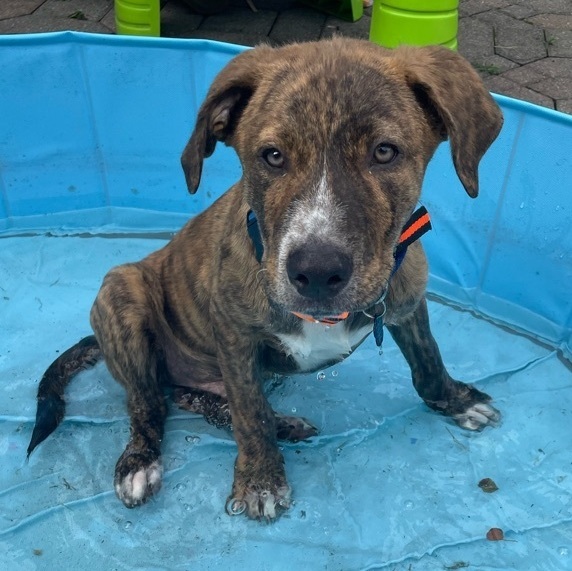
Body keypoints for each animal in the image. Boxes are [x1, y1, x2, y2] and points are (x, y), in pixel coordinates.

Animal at [26, 38, 502, 524]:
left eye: (384, 152)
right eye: (272, 156)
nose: (316, 272)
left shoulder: (407, 300)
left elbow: (429, 361)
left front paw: (457, 401)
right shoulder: (234, 336)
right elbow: (249, 414)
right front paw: (260, 480)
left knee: (195, 400)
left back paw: (281, 422)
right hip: (120, 289)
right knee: (149, 404)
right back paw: (140, 462)